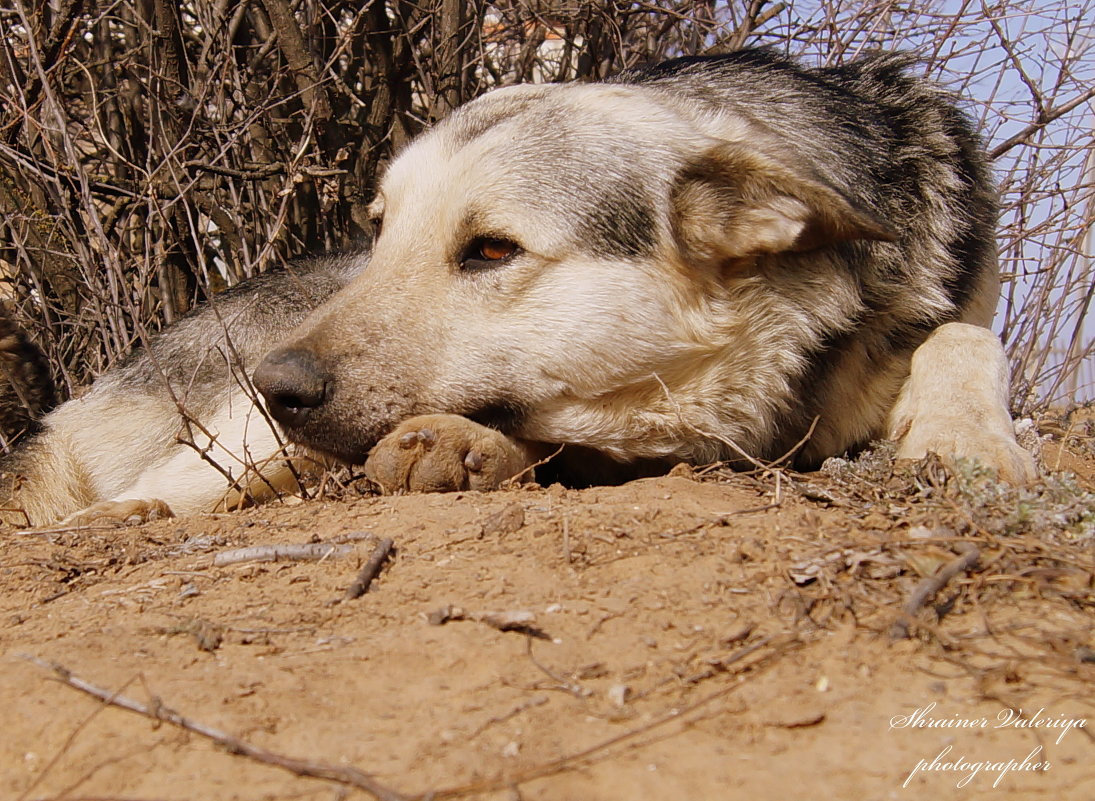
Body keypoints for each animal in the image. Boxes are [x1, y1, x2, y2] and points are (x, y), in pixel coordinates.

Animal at [0, 50, 1033, 525]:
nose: (275, 385)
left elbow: (963, 335)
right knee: (138, 494)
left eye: (491, 250)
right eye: (384, 231)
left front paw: (963, 436)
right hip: (239, 443)